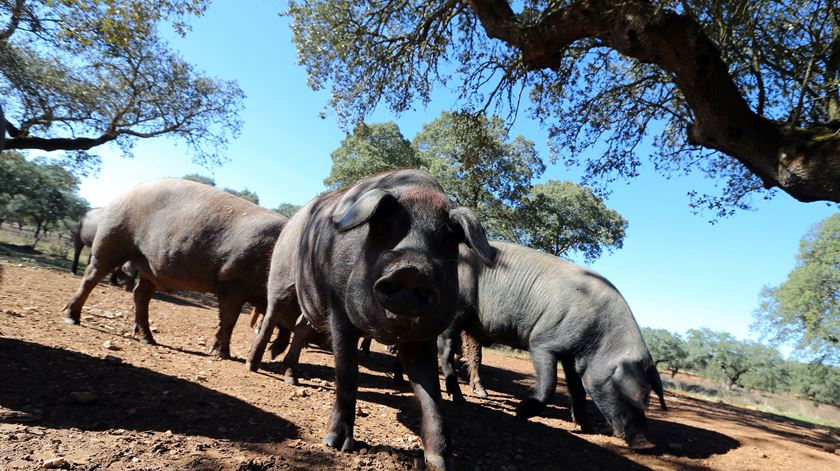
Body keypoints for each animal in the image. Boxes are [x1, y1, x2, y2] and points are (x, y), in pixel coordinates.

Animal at [60, 180, 288, 358]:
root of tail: (124, 193)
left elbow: (282, 323)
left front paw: (274, 352)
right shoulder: (233, 281)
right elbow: (230, 318)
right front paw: (224, 354)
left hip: (148, 265)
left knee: (141, 294)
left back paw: (148, 339)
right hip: (112, 237)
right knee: (92, 275)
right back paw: (72, 317)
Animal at [244, 170, 492, 471]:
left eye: (445, 241)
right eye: (384, 230)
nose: (412, 271)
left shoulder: (423, 336)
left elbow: (430, 391)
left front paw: (442, 462)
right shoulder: (338, 309)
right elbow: (348, 373)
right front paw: (337, 444)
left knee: (301, 327)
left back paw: (292, 379)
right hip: (281, 275)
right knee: (271, 314)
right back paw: (252, 366)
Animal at [440, 242, 668, 452]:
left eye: (647, 397)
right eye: (621, 390)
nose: (646, 444)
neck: (599, 341)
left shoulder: (572, 358)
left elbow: (578, 390)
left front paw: (587, 427)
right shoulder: (542, 343)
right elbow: (549, 383)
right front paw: (521, 412)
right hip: (457, 310)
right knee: (445, 349)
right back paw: (459, 398)